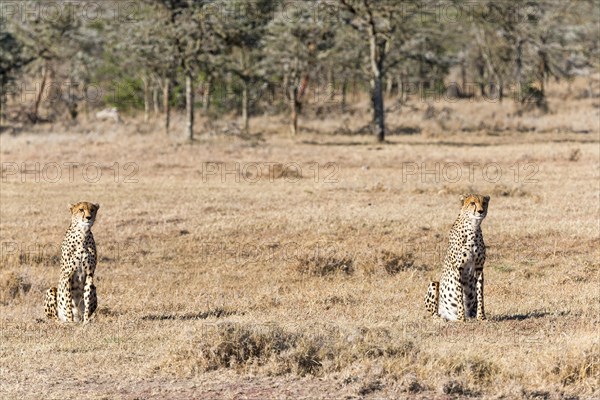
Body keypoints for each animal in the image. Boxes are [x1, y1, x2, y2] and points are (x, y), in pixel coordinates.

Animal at [424, 194, 490, 322]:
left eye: (484, 203)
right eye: (472, 203)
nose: (481, 211)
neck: (473, 227)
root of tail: (449, 317)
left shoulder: (479, 268)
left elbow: (480, 293)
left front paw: (481, 317)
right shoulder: (458, 268)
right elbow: (459, 294)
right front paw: (461, 317)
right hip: (434, 283)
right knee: (433, 314)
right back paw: (440, 319)